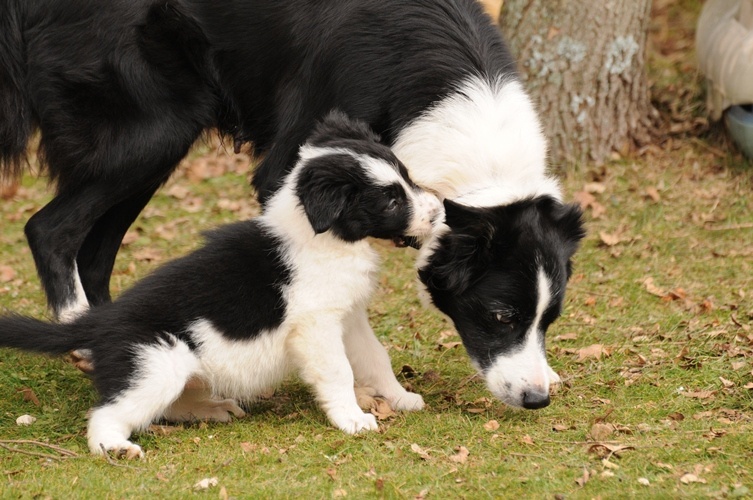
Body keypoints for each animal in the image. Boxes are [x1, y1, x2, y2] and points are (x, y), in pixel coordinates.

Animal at [0, 0, 584, 408]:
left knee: (95, 252)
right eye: (500, 315)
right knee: (49, 228)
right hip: (154, 129)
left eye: (550, 319)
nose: (537, 400)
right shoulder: (293, 169)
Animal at [0, 112, 441, 458]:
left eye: (407, 177)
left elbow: (375, 358)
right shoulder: (317, 326)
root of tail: (99, 322)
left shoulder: (348, 317)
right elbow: (338, 372)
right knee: (107, 414)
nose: (439, 213)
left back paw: (212, 409)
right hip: (158, 363)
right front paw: (352, 419)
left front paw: (400, 398)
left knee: (164, 406)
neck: (323, 236)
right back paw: (117, 447)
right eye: (391, 201)